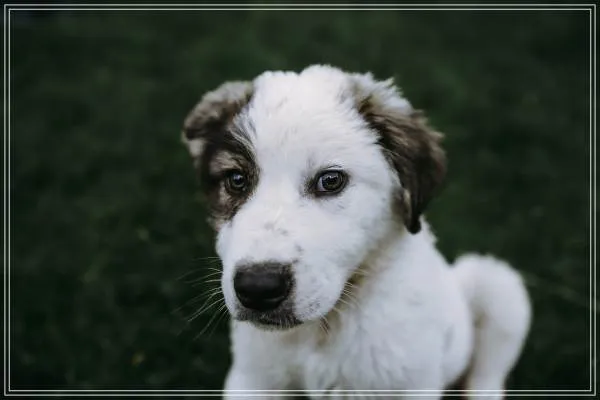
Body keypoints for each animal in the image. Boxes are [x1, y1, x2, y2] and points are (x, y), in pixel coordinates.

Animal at [181, 65, 532, 399]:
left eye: (331, 181)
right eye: (236, 180)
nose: (258, 288)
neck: (325, 328)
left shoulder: (413, 384)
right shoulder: (252, 378)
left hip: (497, 288)